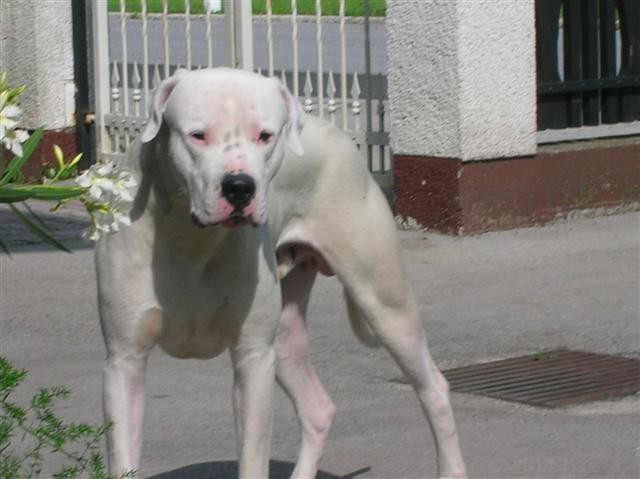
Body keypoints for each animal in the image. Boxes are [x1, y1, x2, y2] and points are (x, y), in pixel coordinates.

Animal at [96, 68, 464, 479]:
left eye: (265, 135)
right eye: (198, 135)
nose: (239, 186)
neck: (190, 237)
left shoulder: (254, 358)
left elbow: (253, 457)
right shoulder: (124, 362)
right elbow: (123, 455)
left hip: (386, 306)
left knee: (434, 388)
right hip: (285, 338)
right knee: (318, 408)